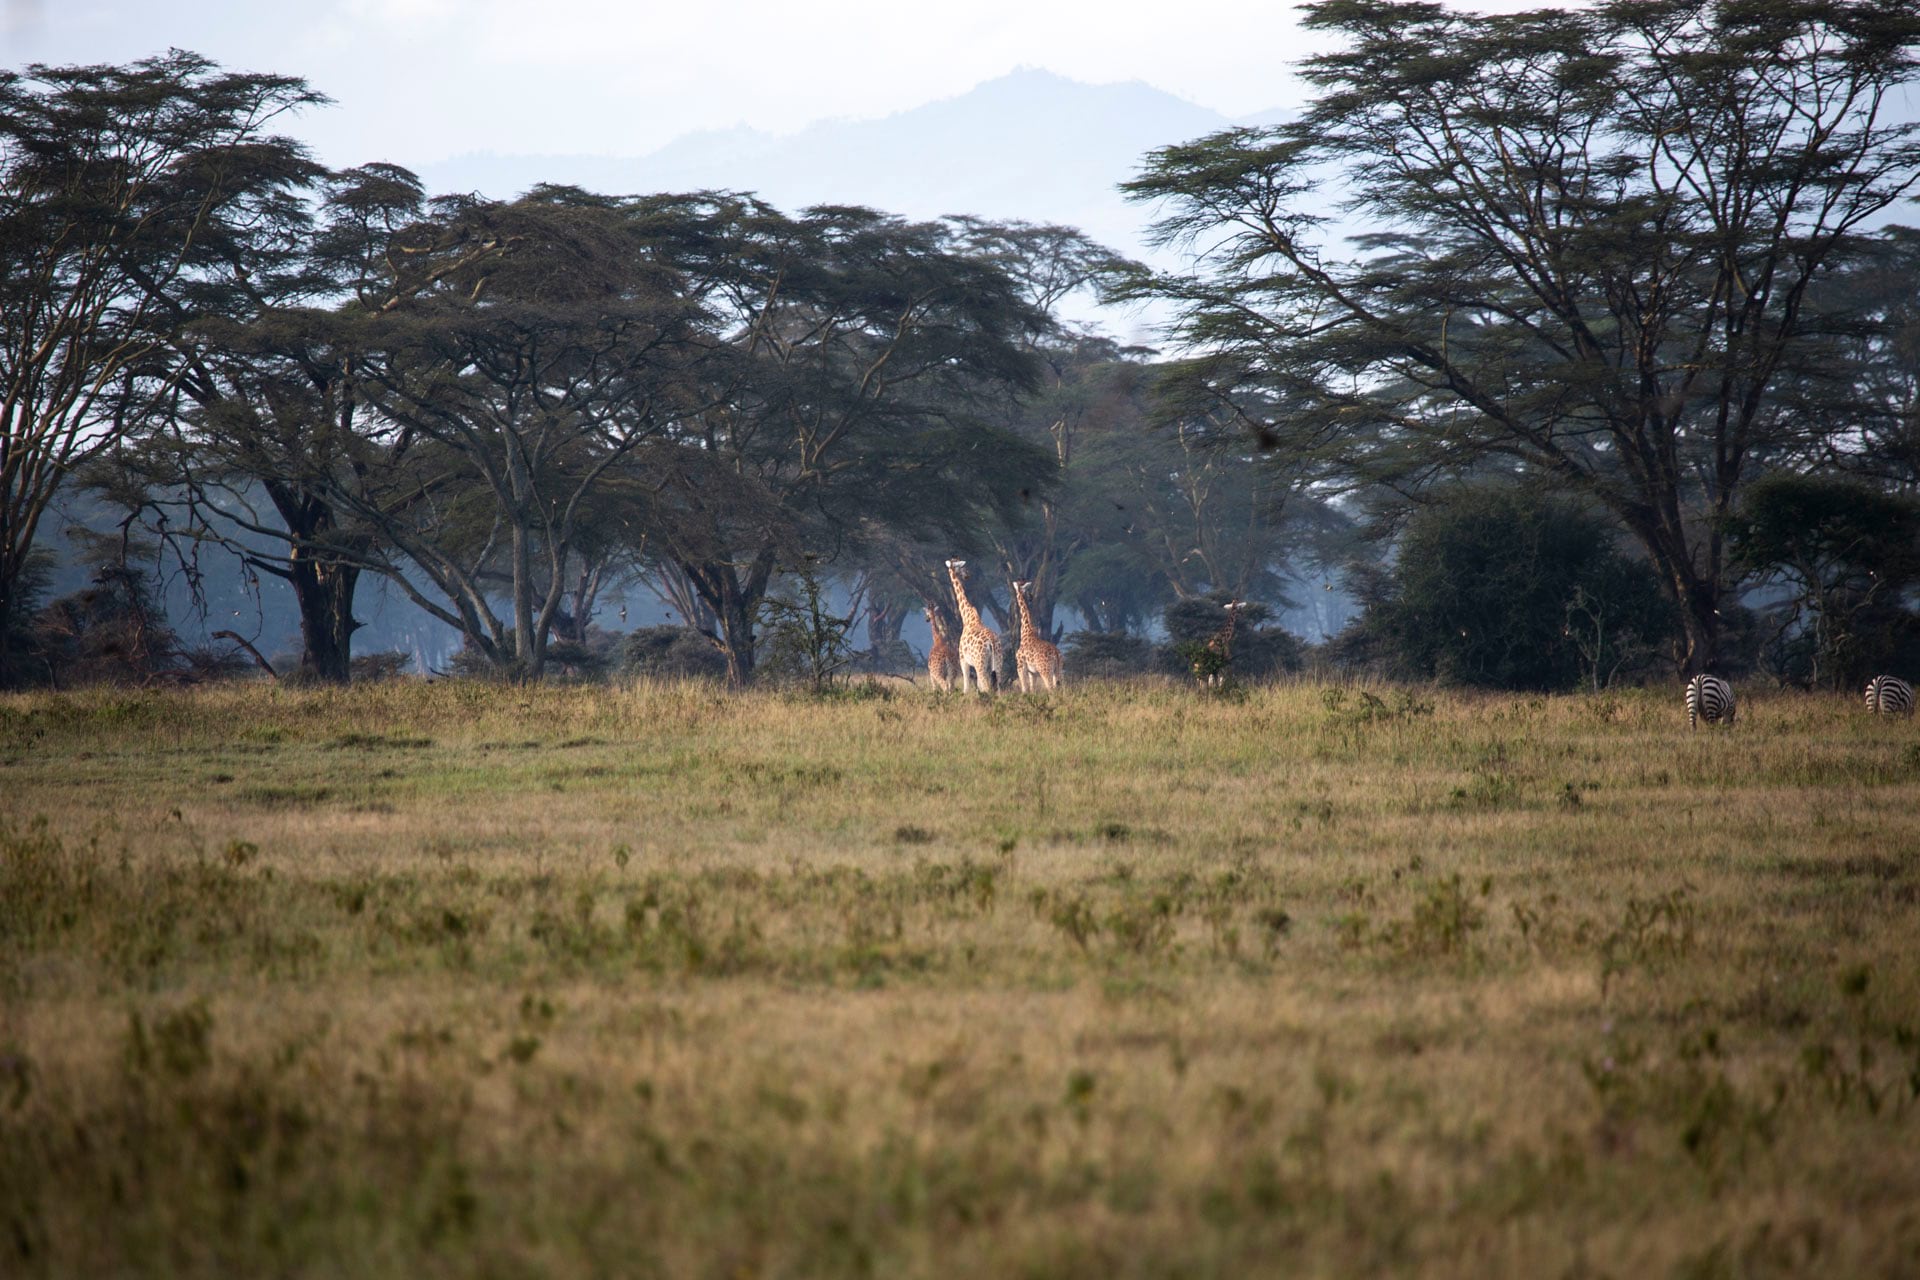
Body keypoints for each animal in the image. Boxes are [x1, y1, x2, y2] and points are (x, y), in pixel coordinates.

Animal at [944, 556, 1006, 694]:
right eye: (962, 567)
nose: (967, 574)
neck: (967, 617)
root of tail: (991, 642)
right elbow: (977, 687)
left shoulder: (963, 659)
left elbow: (966, 688)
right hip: (997, 661)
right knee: (998, 687)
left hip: (980, 663)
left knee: (986, 686)